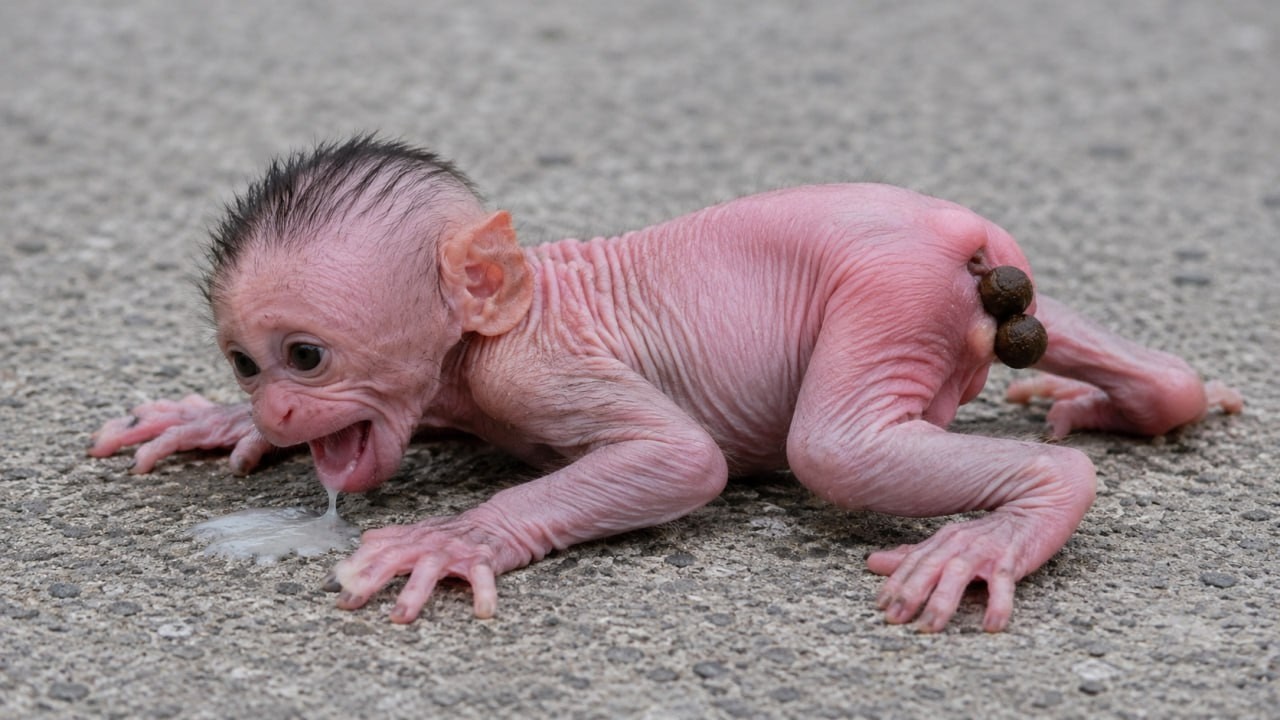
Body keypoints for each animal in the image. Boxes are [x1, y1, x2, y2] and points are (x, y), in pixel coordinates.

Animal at [89, 135, 1242, 632]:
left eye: (307, 356)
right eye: (247, 359)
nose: (279, 405)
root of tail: (963, 231)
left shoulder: (535, 371)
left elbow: (680, 460)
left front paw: (452, 540)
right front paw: (221, 424)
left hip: (891, 293)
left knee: (833, 448)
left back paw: (1001, 530)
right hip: (984, 296)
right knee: (1141, 372)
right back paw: (1122, 398)